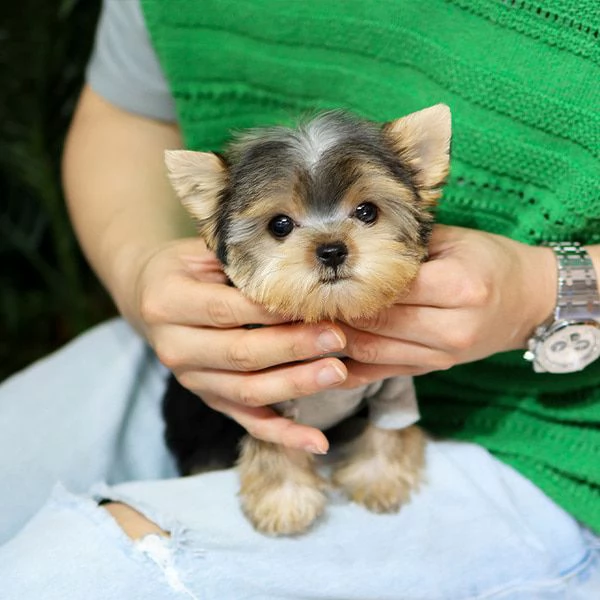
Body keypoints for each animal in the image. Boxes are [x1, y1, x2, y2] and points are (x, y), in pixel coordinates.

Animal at [162, 105, 452, 536]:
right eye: (280, 225)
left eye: (367, 212)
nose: (332, 250)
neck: (331, 312)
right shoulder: (264, 397)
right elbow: (274, 442)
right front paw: (284, 501)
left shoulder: (393, 385)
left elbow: (387, 427)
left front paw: (379, 477)